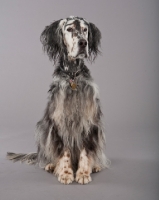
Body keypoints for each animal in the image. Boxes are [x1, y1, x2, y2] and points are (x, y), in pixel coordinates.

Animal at [6, 15, 110, 184]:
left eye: (85, 30)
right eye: (69, 29)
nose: (83, 43)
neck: (73, 76)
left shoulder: (89, 122)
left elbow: (85, 151)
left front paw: (83, 173)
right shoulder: (59, 121)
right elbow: (64, 151)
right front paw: (66, 173)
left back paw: (95, 166)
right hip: (42, 128)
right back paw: (51, 165)